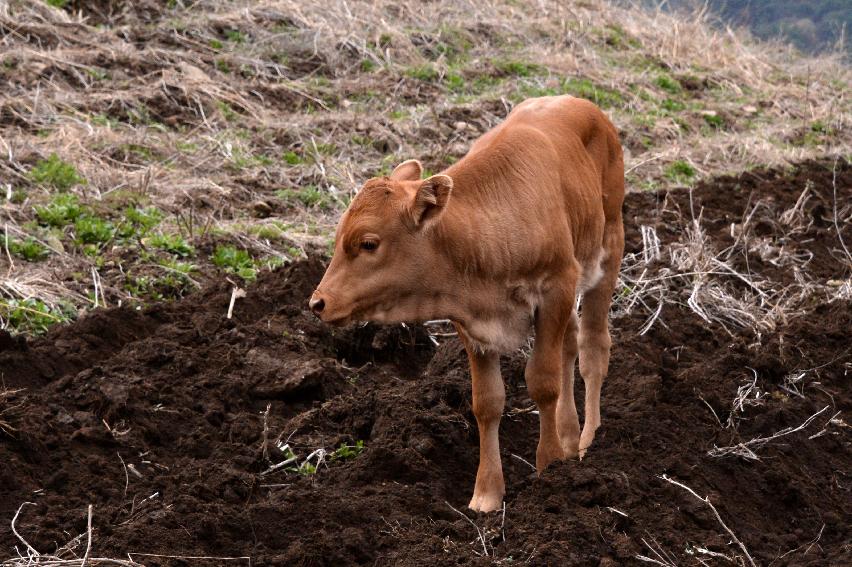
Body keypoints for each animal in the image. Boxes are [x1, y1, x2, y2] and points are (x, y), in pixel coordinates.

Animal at [310, 95, 624, 512]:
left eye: (368, 243)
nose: (319, 302)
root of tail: (581, 102)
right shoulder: (472, 320)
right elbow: (486, 402)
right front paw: (487, 494)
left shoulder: (556, 287)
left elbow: (543, 381)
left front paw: (549, 468)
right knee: (570, 345)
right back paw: (570, 436)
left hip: (608, 248)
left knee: (592, 346)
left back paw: (588, 439)